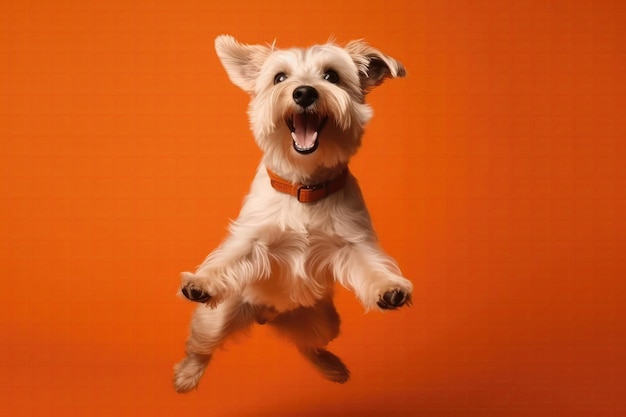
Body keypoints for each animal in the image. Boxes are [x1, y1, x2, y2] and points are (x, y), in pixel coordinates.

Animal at [173, 34, 412, 392]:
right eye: (279, 78)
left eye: (331, 76)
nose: (304, 93)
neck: (304, 188)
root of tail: (268, 313)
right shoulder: (254, 238)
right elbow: (228, 258)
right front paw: (202, 280)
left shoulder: (351, 242)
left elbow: (371, 265)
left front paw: (389, 289)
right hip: (216, 318)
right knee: (201, 347)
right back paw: (187, 376)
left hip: (323, 321)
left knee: (308, 346)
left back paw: (332, 368)